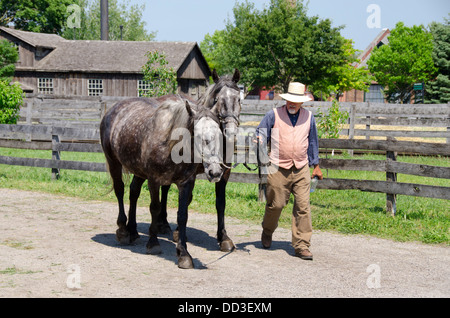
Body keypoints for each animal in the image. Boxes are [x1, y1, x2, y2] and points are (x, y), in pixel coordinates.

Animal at [99, 95, 224, 268]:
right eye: (198, 136)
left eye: (220, 134)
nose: (215, 172)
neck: (170, 145)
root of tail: (113, 109)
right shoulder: (154, 180)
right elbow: (155, 209)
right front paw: (153, 243)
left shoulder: (186, 183)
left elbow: (182, 215)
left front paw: (184, 254)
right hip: (114, 163)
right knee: (120, 190)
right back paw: (123, 230)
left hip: (138, 171)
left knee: (133, 193)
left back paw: (133, 231)